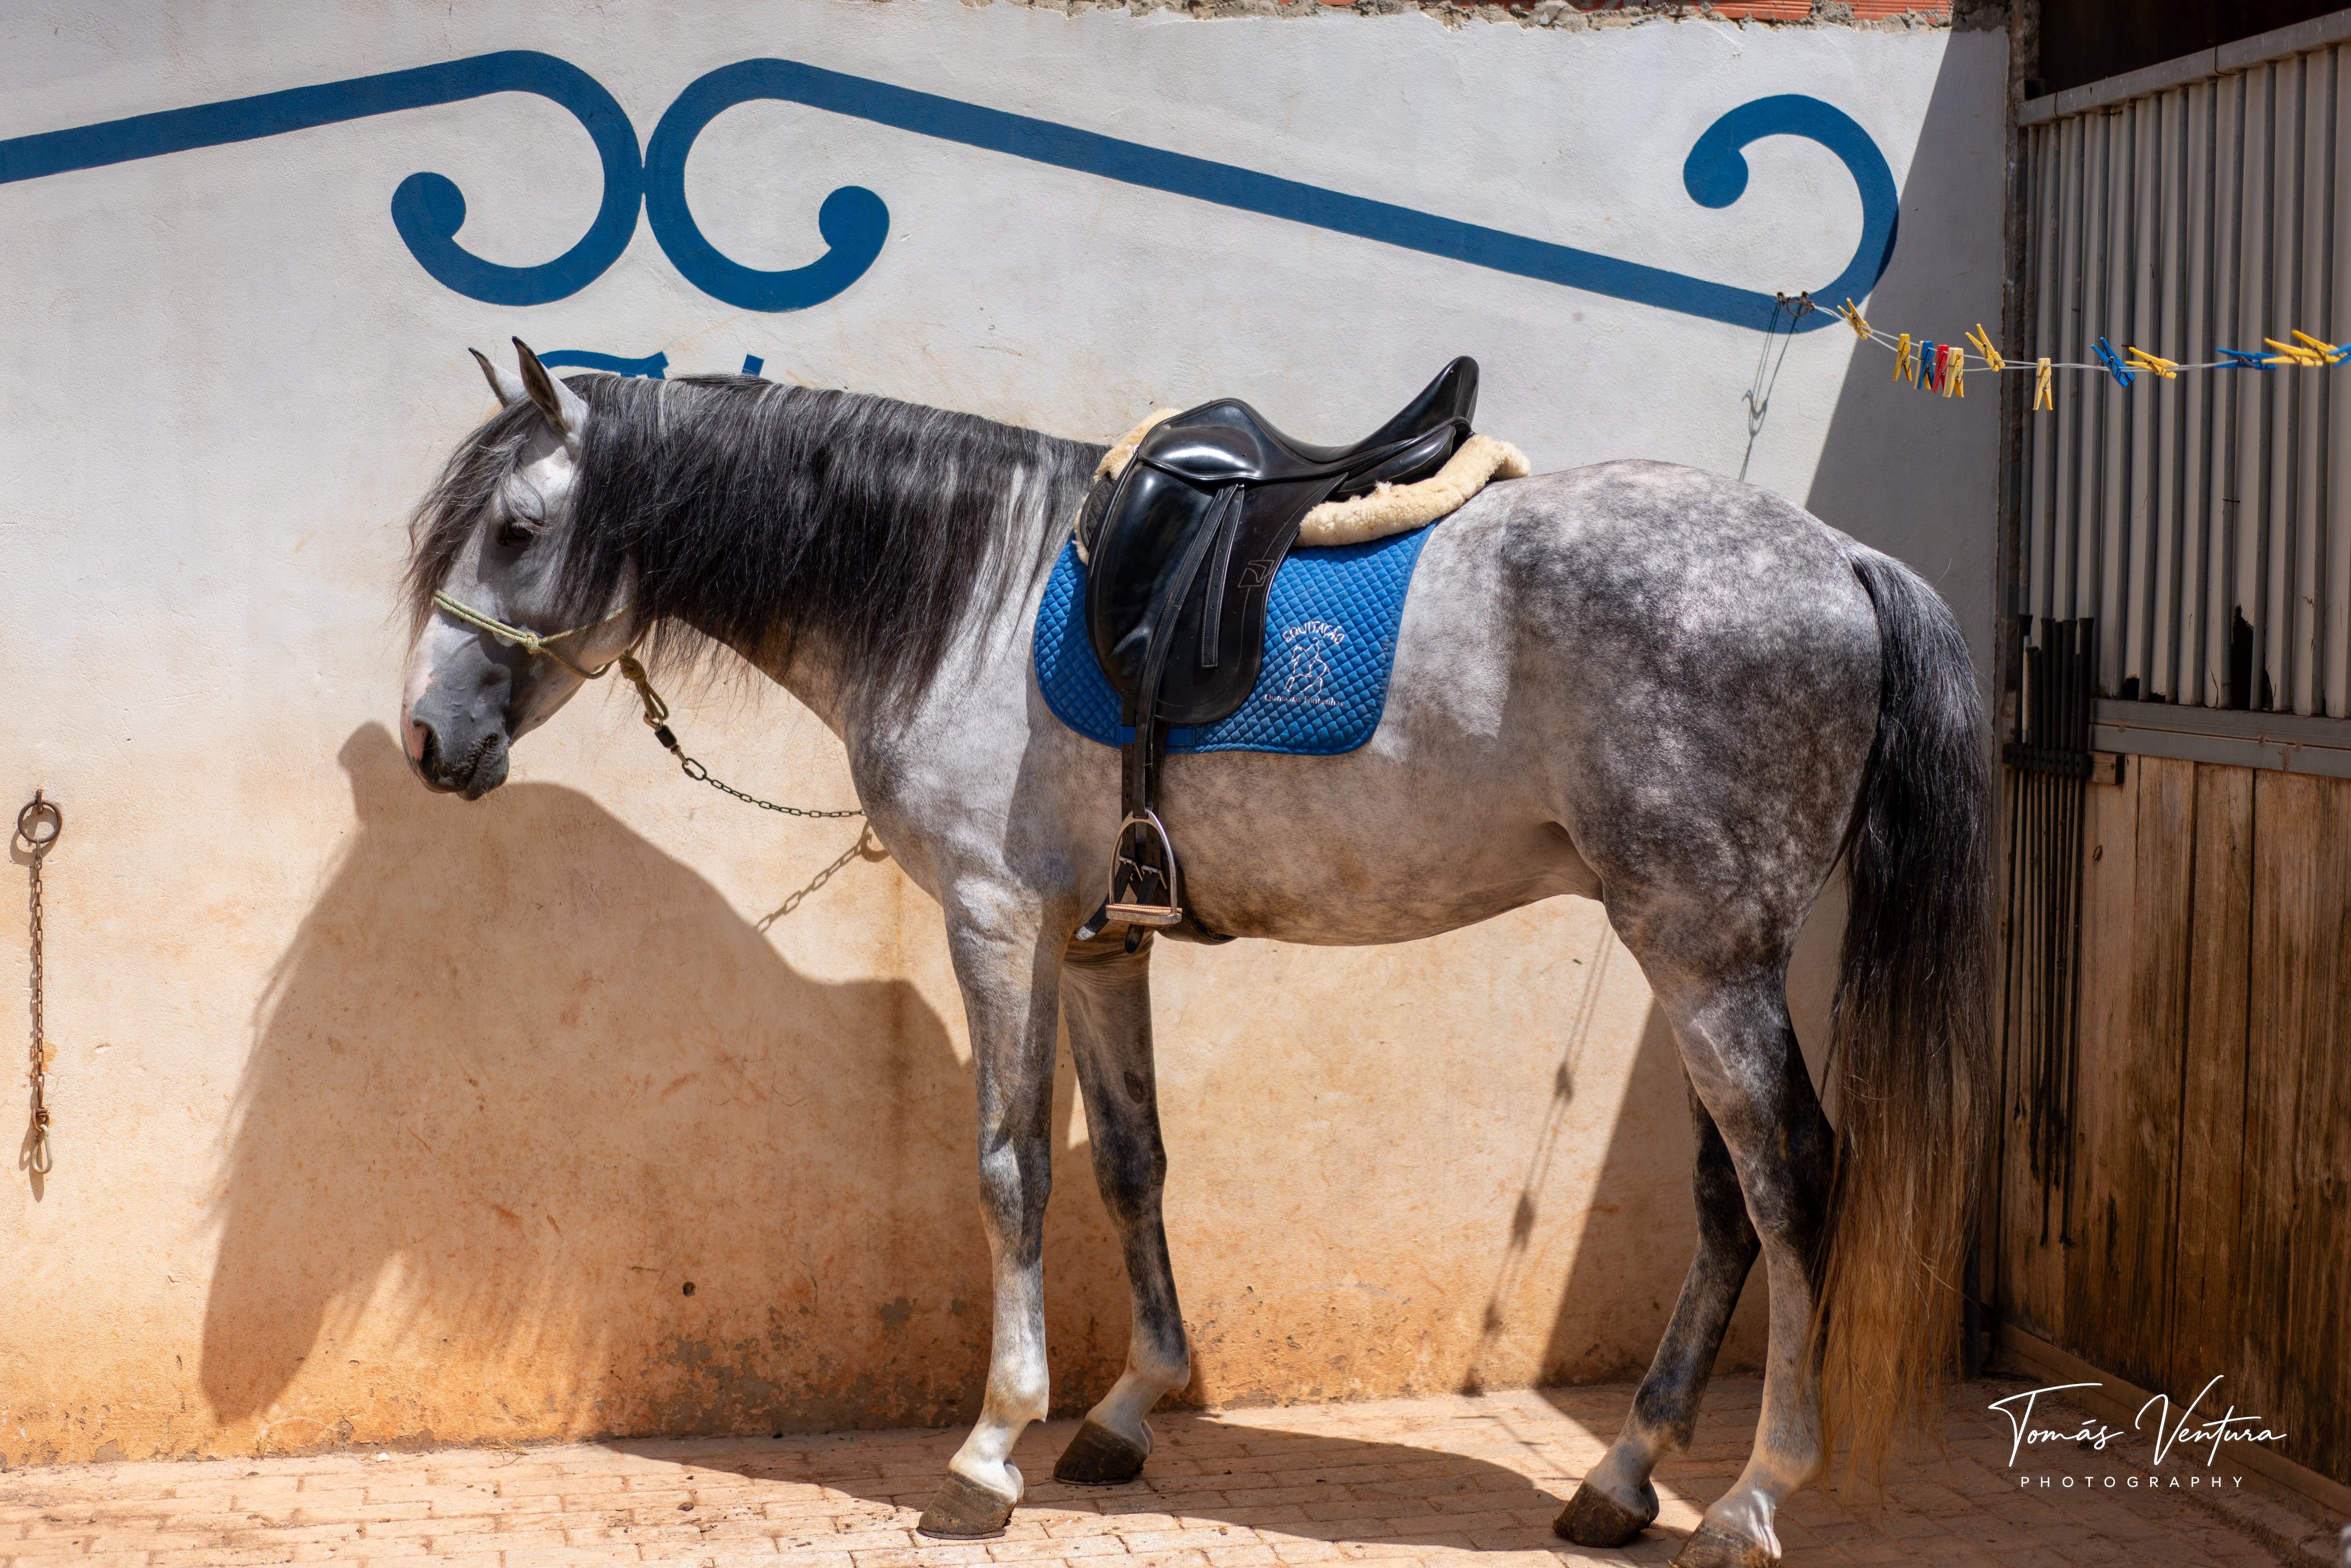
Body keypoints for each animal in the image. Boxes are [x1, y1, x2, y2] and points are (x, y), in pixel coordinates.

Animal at [398, 341, 1990, 1568]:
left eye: (519, 530)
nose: (426, 738)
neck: (967, 599)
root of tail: (1843, 558)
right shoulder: (1106, 945)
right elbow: (1130, 1162)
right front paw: (1122, 1412)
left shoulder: (998, 918)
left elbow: (1011, 1169)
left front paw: (989, 1450)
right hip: (1691, 951)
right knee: (1729, 1200)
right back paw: (1620, 1477)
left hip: (1704, 953)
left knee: (1792, 1178)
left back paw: (1752, 1497)